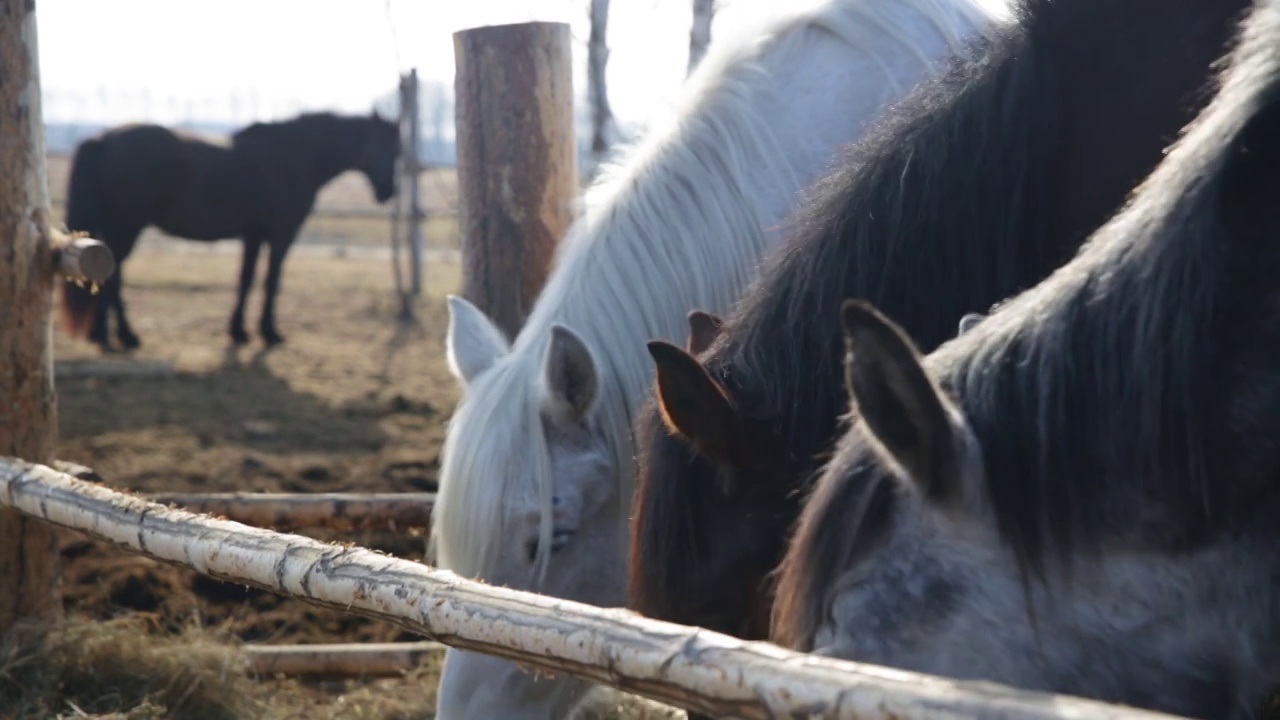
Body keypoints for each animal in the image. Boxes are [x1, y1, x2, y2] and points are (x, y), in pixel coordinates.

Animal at [60, 108, 396, 351]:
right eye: (387, 145)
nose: (389, 191)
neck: (292, 157)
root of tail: (103, 140)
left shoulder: (253, 236)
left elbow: (246, 280)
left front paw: (239, 332)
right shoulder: (281, 235)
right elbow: (271, 281)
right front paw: (270, 333)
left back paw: (104, 334)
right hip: (127, 228)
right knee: (114, 276)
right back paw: (120, 336)